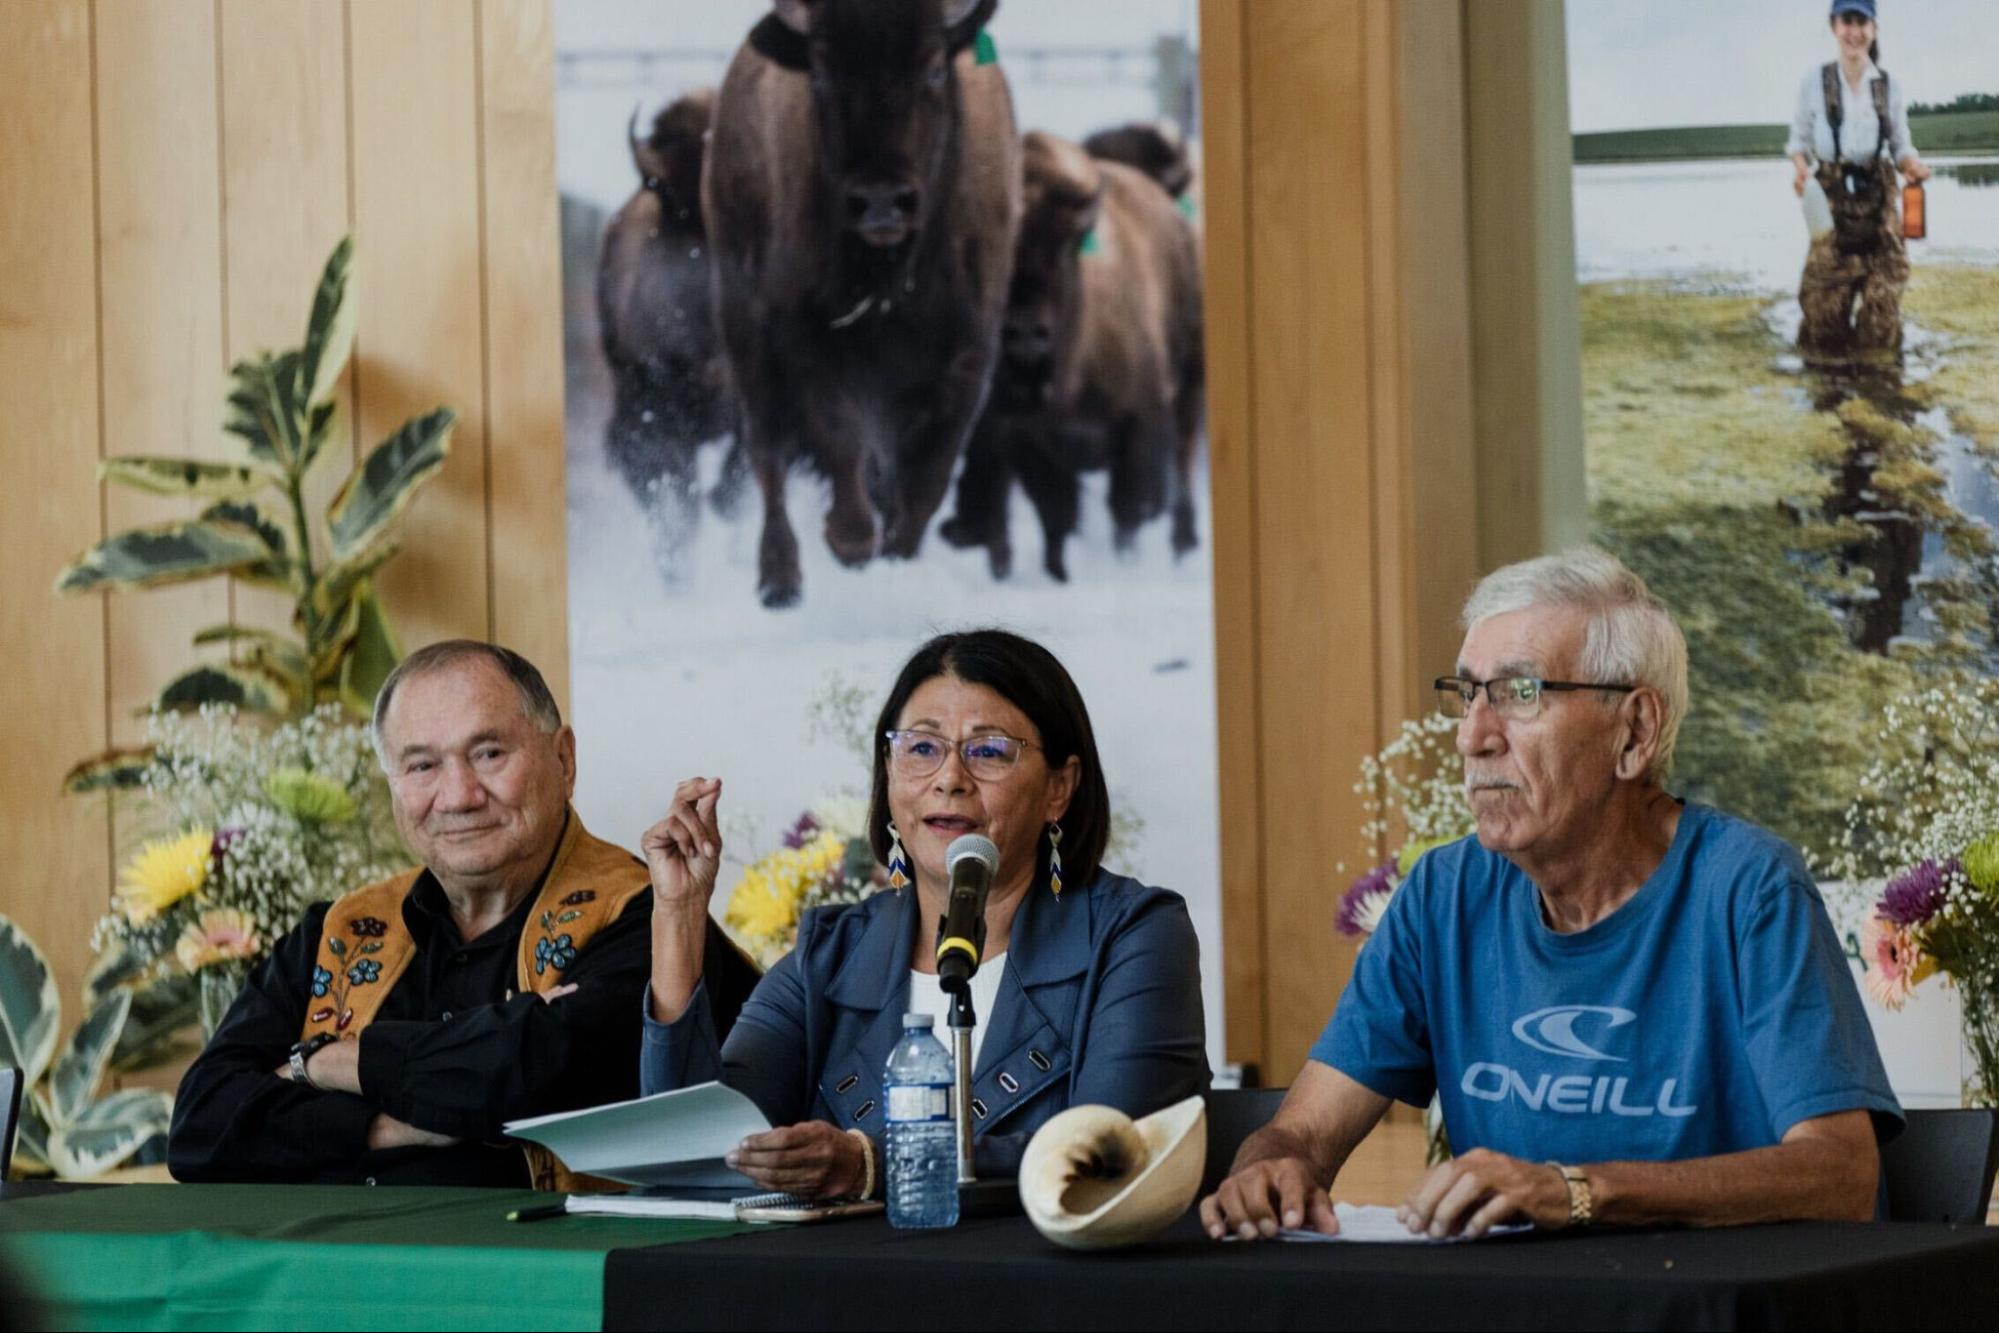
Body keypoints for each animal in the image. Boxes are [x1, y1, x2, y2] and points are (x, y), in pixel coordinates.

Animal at [707, 0, 1023, 607]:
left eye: (935, 68)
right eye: (822, 74)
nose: (880, 201)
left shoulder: (967, 361)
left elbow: (924, 486)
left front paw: (894, 553)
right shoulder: (808, 344)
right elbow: (838, 441)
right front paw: (849, 543)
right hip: (745, 336)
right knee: (767, 455)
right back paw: (780, 581)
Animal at [935, 128, 1199, 579]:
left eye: (1062, 247)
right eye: (999, 256)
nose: (1025, 332)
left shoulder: (1140, 423)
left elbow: (1128, 514)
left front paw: (1124, 565)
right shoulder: (1029, 443)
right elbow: (1057, 519)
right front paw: (1058, 575)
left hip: (1189, 395)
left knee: (1181, 469)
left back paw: (1183, 547)